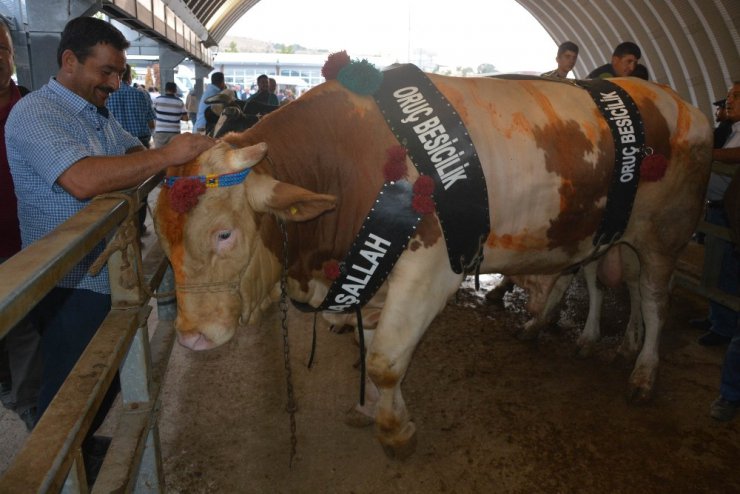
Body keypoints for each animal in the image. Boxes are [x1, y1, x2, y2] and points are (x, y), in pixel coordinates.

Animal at [155, 62, 712, 460]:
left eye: (224, 233)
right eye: (161, 238)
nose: (192, 336)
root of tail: (683, 103)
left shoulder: (429, 271)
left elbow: (384, 360)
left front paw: (395, 431)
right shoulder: (372, 276)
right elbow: (370, 346)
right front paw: (375, 410)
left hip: (664, 235)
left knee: (654, 299)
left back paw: (642, 372)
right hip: (603, 233)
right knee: (600, 279)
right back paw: (588, 337)